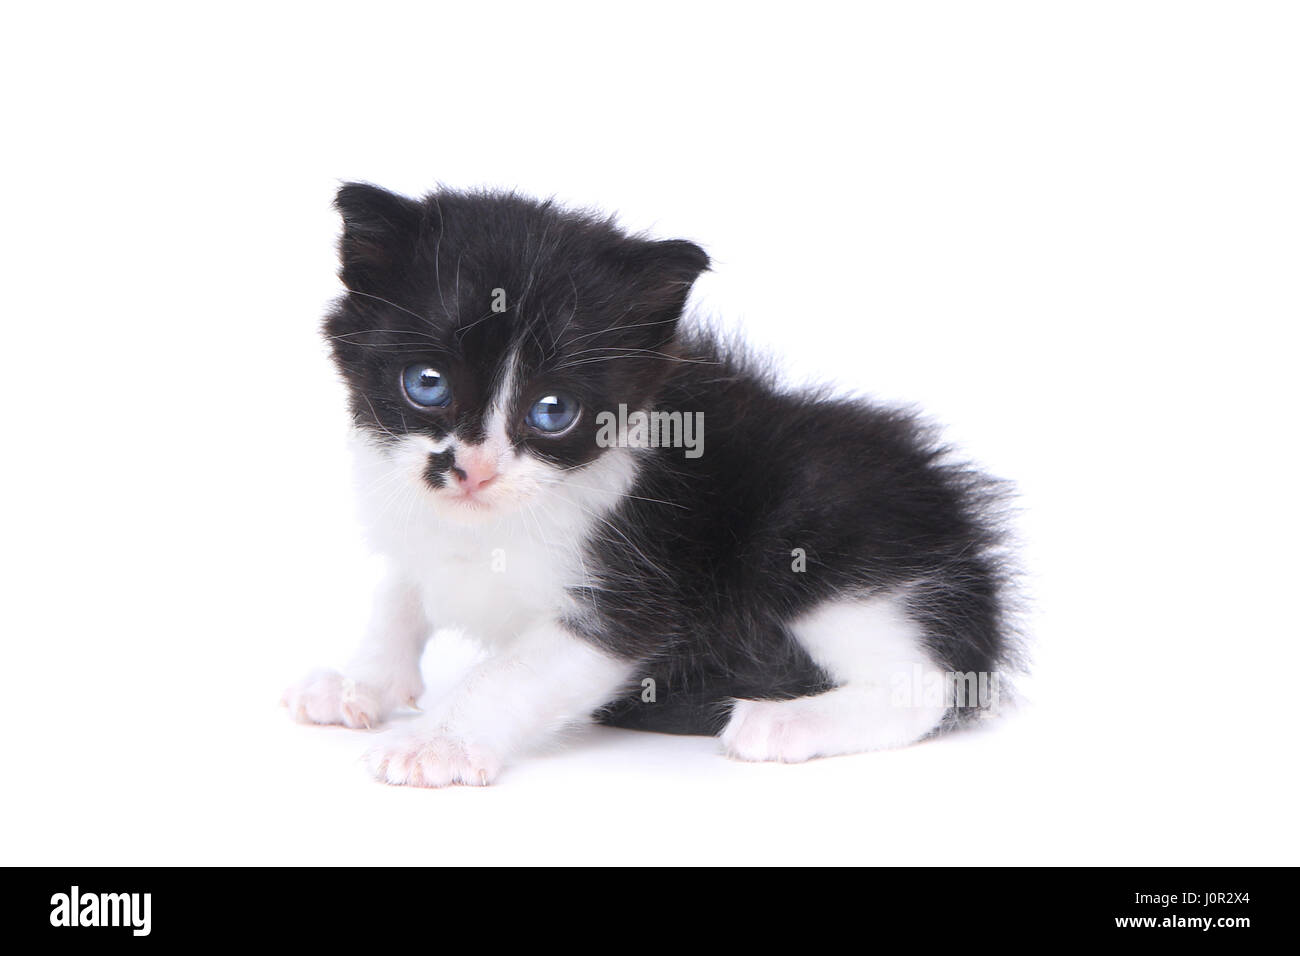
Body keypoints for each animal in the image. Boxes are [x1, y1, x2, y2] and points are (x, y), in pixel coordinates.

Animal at [284, 183, 1013, 790]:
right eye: (426, 383)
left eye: (553, 410)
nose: (473, 470)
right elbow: (400, 592)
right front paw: (360, 683)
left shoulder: (629, 599)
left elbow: (512, 671)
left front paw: (438, 742)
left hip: (828, 537)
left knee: (929, 685)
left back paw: (783, 720)